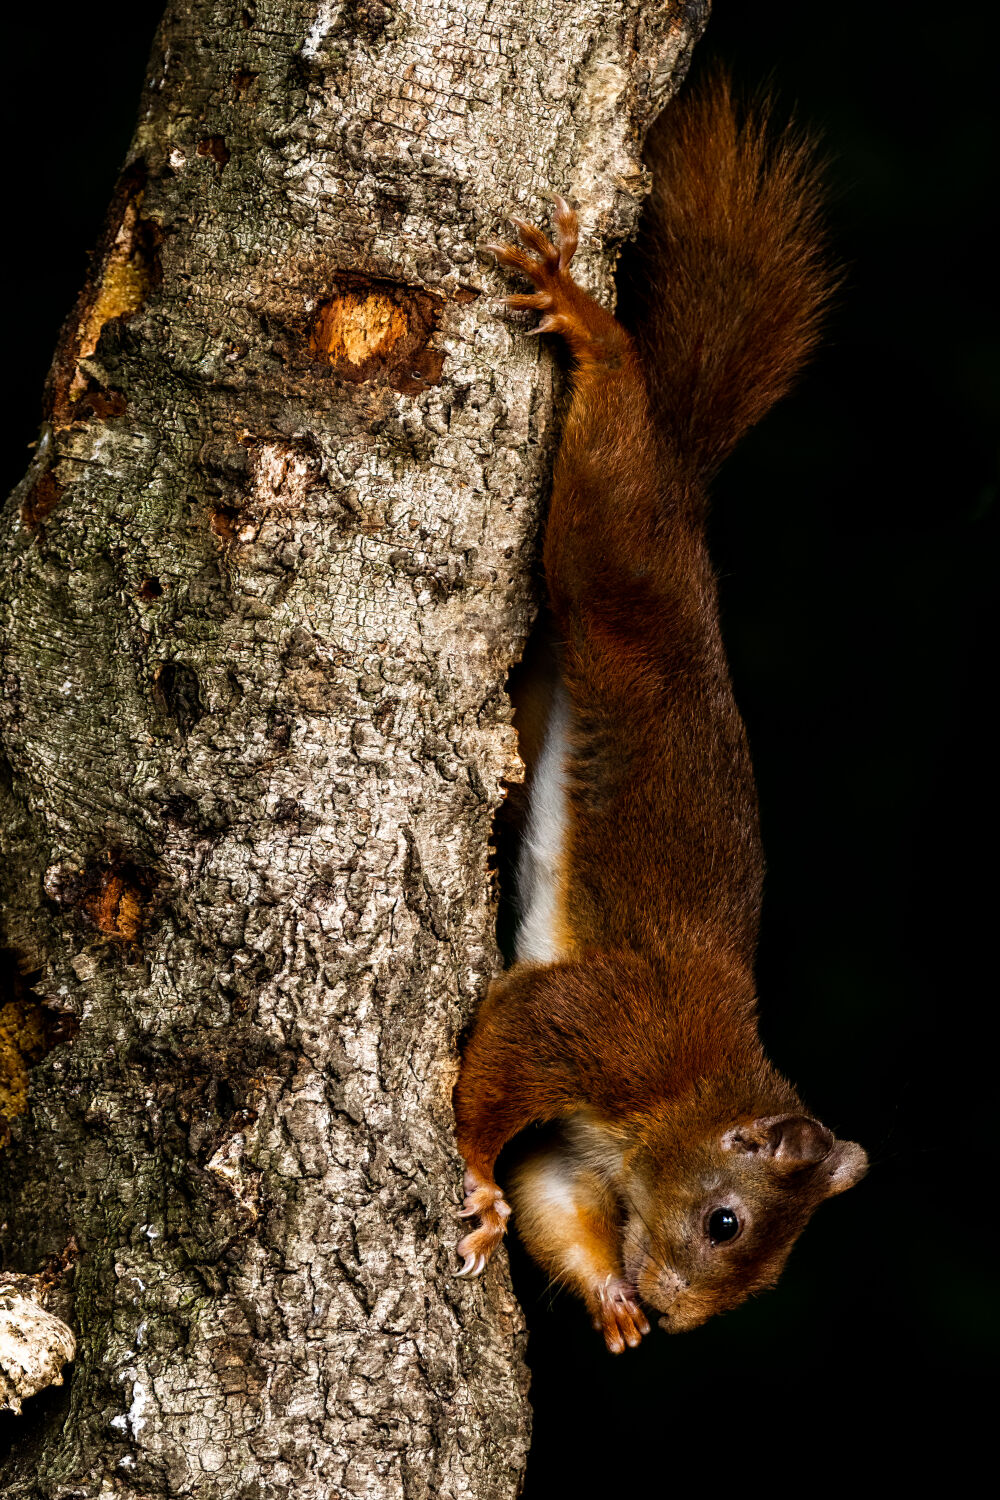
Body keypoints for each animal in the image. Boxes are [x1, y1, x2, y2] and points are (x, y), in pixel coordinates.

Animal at [452, 76, 869, 1356]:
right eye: (725, 1220)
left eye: (767, 1276)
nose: (683, 1319)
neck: (689, 1097)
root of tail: (685, 494)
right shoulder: (606, 1029)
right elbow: (502, 1065)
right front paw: (471, 1177)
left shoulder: (583, 1155)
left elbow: (553, 1200)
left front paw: (610, 1302)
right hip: (617, 555)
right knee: (610, 461)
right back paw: (590, 328)